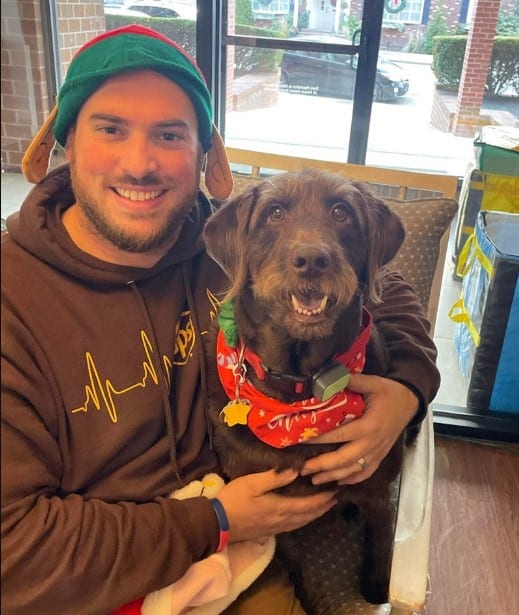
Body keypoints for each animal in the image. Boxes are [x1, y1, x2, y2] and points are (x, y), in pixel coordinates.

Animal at [203, 167, 410, 608]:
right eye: (275, 213)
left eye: (341, 212)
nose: (313, 259)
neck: (300, 392)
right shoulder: (276, 511)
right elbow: (295, 565)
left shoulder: (379, 495)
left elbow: (380, 553)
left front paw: (375, 592)